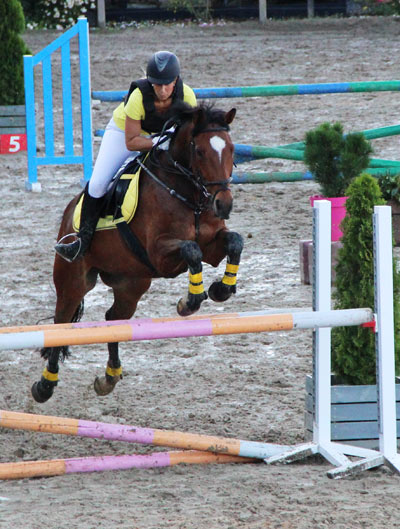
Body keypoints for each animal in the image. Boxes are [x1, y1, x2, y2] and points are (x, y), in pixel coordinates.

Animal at [31, 102, 244, 403]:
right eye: (200, 151)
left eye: (232, 148)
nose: (223, 204)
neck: (187, 194)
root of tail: (70, 211)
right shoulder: (160, 254)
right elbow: (191, 251)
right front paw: (189, 302)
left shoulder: (212, 246)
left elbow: (235, 242)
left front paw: (220, 290)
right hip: (72, 280)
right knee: (61, 324)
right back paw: (45, 386)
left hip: (131, 283)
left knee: (114, 319)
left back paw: (109, 377)